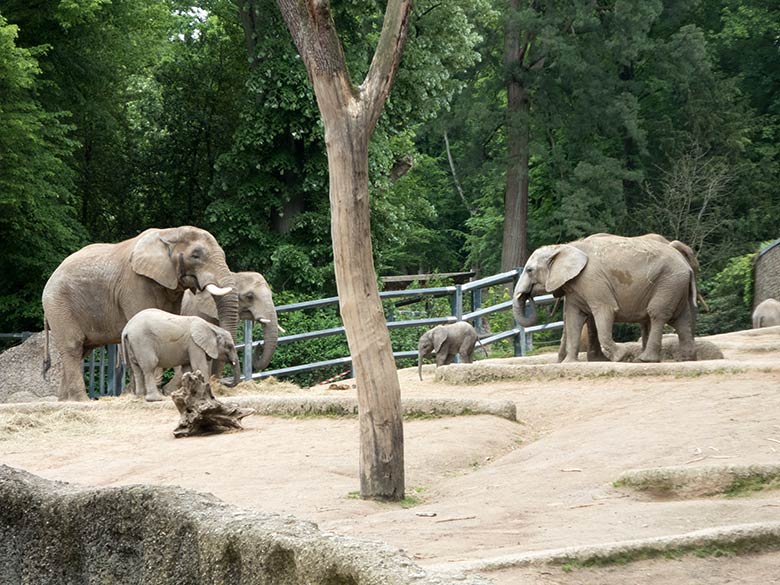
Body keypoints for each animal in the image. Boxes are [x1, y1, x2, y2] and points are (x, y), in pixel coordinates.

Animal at [42, 226, 236, 400]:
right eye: (196, 255)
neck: (169, 232)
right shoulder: (134, 284)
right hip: (58, 305)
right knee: (73, 347)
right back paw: (81, 400)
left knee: (83, 350)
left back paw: (65, 400)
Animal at [516, 232, 696, 360]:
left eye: (529, 270)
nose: (529, 295)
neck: (564, 247)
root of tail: (685, 263)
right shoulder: (575, 286)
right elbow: (574, 317)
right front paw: (569, 363)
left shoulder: (592, 279)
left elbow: (604, 310)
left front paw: (621, 356)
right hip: (675, 284)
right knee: (682, 318)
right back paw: (686, 359)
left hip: (669, 281)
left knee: (657, 314)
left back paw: (645, 359)